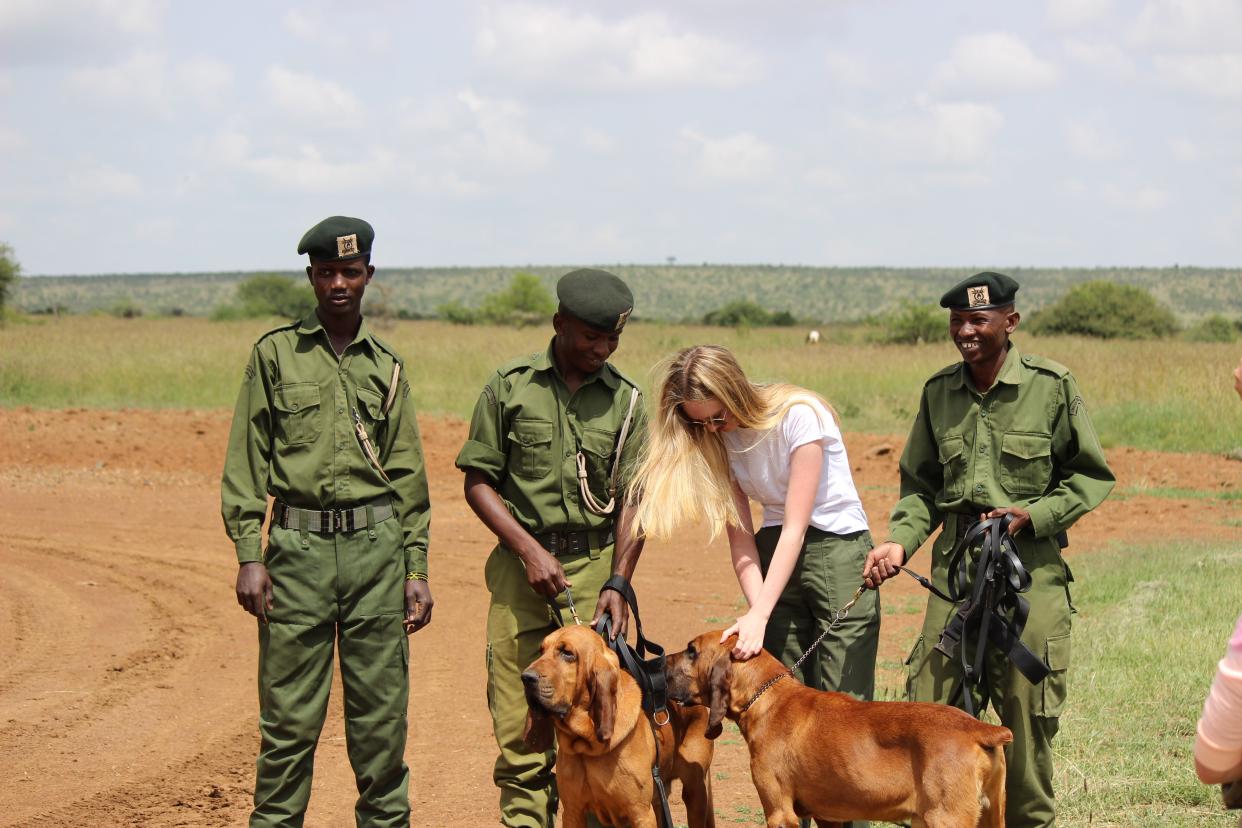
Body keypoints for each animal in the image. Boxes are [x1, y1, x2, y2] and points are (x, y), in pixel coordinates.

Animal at [524, 628, 720, 828]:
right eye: (541, 650)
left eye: (567, 653)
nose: (526, 678)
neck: (587, 747)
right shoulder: (573, 812)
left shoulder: (641, 814)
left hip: (695, 792)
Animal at [665, 630, 1013, 824]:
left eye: (692, 651)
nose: (660, 663)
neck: (769, 698)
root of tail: (978, 729)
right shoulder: (825, 816)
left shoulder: (780, 812)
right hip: (990, 816)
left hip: (946, 819)